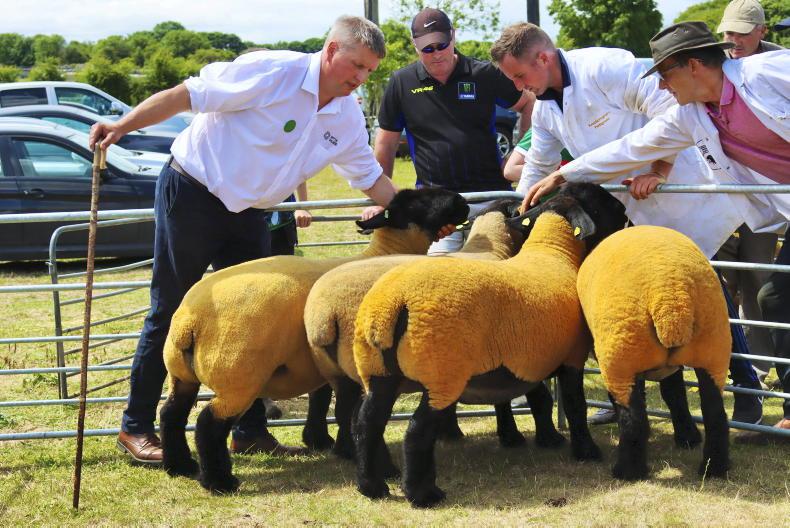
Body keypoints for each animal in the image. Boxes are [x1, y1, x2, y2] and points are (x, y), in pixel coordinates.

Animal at [158, 188, 470, 493]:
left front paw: (322, 440)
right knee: (208, 424)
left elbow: (323, 399)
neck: (384, 252)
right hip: (237, 376)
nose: (462, 202)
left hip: (182, 374)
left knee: (171, 413)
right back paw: (219, 482)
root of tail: (187, 324)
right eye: (419, 200)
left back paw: (180, 466)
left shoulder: (319, 363)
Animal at [304, 199, 566, 466]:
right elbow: (530, 394)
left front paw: (455, 432)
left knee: (342, 409)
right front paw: (537, 437)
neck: (492, 250)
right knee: (361, 416)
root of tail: (324, 314)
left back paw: (341, 450)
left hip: (340, 370)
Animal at [351, 183, 628, 507]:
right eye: (602, 202)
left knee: (367, 424)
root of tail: (396, 302)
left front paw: (545, 439)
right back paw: (424, 494)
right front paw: (586, 451)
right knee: (417, 430)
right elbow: (574, 405)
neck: (553, 252)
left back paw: (372, 487)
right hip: (441, 373)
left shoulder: (525, 359)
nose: (626, 215)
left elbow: (537, 399)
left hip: (378, 372)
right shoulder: (570, 356)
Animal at [576, 225, 732, 481]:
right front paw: (688, 437)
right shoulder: (671, 366)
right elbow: (674, 393)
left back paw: (627, 471)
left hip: (622, 357)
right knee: (715, 414)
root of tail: (671, 300)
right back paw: (714, 468)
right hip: (712, 350)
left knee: (633, 419)